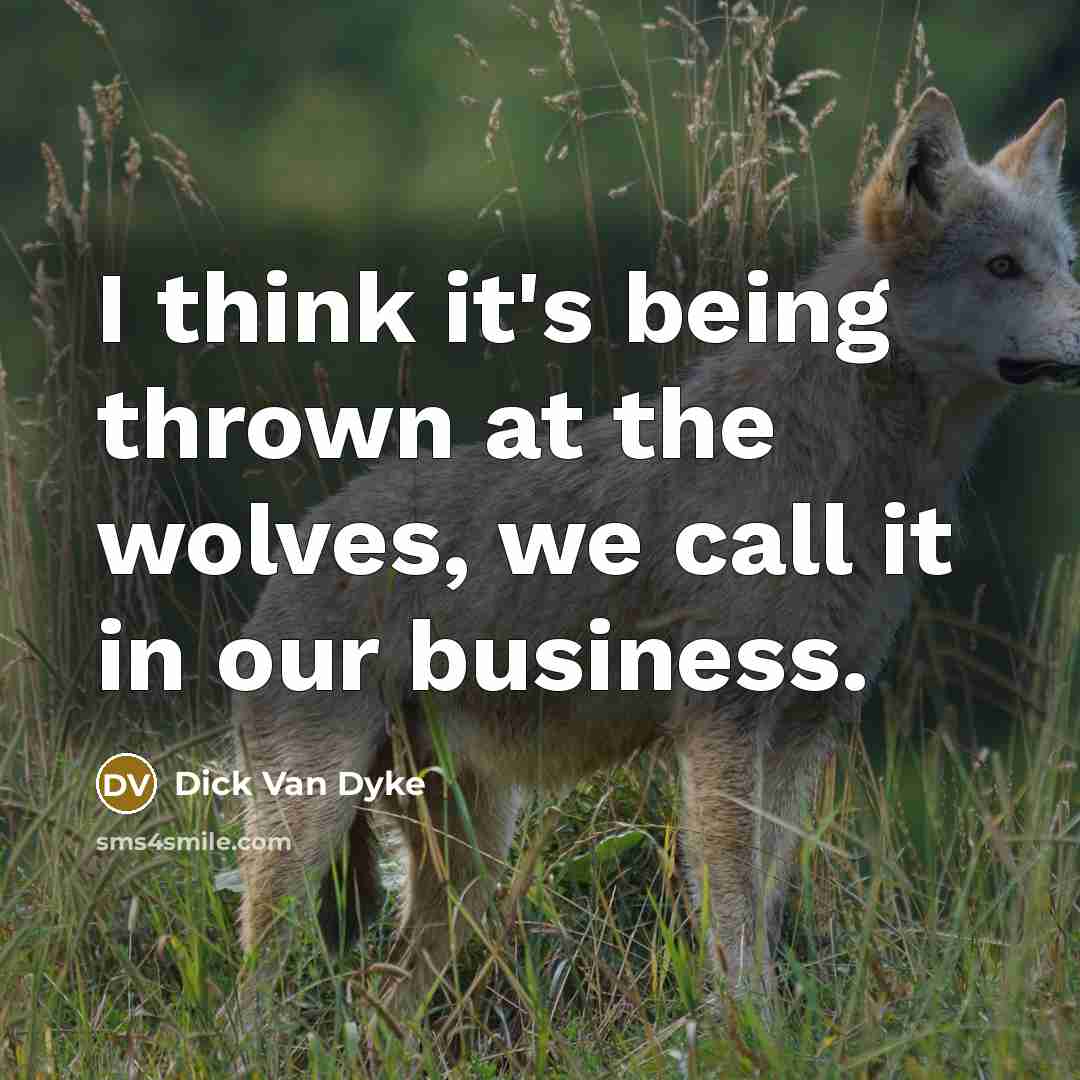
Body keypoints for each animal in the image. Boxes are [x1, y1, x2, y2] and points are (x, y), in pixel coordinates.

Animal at [233, 89, 1079, 1023]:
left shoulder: (805, 730)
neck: (848, 472)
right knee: (254, 998)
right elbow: (734, 918)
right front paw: (750, 1031)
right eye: (1002, 266)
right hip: (315, 834)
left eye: (1066, 264)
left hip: (471, 868)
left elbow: (761, 900)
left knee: (380, 1004)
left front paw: (752, 1031)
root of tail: (297, 540)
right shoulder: (722, 726)